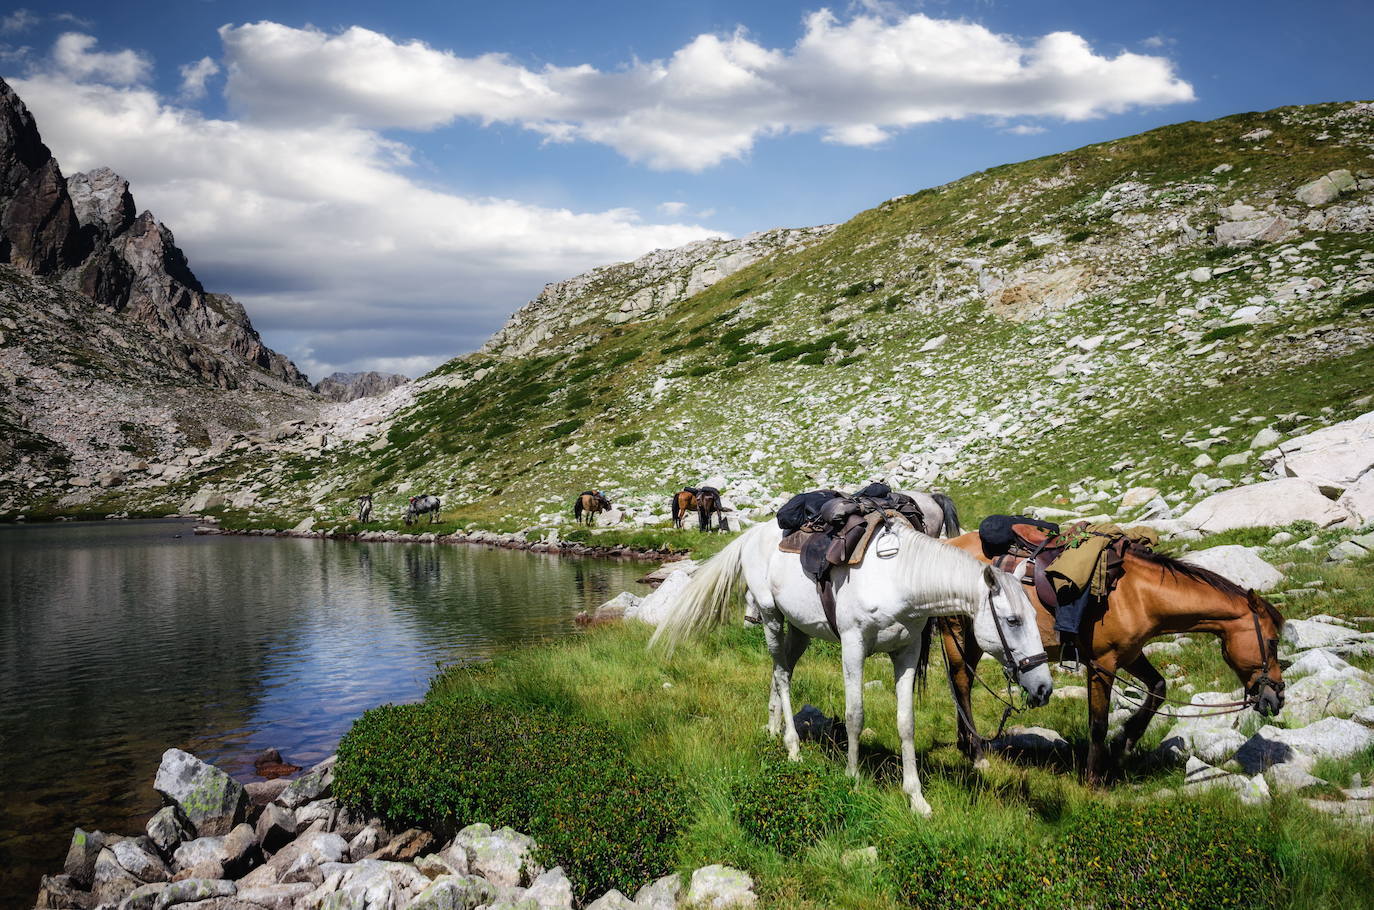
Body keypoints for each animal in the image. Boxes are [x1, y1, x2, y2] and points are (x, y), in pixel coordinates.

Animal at [654, 519, 1049, 819]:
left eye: (1035, 616)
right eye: (1012, 620)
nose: (1044, 688)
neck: (898, 578)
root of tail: (754, 533)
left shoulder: (907, 652)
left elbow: (906, 723)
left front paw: (916, 798)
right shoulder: (853, 646)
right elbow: (855, 714)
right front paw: (853, 778)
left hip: (800, 629)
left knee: (779, 672)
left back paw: (772, 729)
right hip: (771, 618)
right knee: (781, 676)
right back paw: (792, 747)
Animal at [939, 530, 1280, 786]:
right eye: (1274, 641)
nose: (1276, 697)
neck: (1138, 595)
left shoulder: (1130, 655)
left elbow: (1158, 688)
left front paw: (1124, 744)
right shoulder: (1102, 663)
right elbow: (1098, 723)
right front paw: (1093, 778)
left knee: (961, 683)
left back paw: (967, 744)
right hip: (958, 635)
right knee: (961, 683)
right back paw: (975, 752)